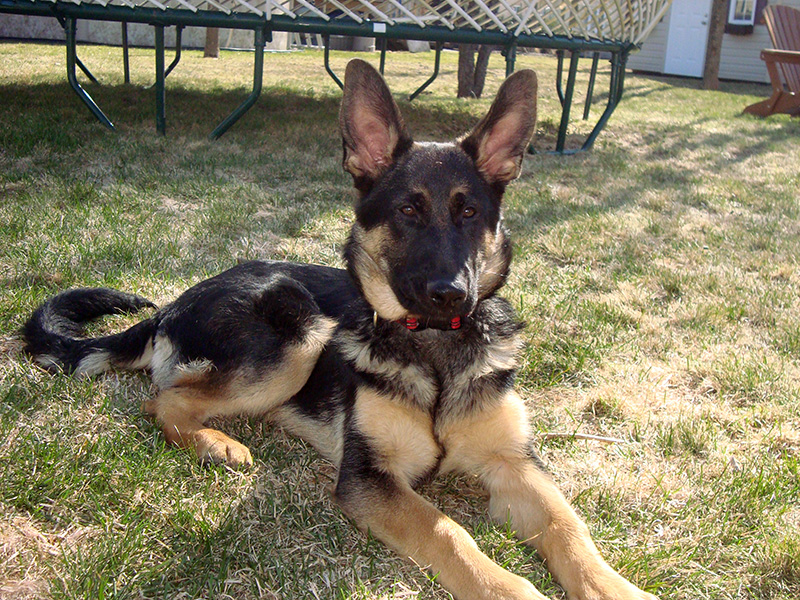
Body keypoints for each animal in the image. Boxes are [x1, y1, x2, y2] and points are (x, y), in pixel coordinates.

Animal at [23, 57, 656, 600]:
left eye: (469, 212)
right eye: (407, 210)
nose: (452, 293)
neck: (434, 348)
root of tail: (177, 300)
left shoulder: (516, 465)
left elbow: (570, 528)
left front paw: (614, 586)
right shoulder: (370, 478)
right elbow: (450, 531)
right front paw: (507, 587)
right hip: (300, 333)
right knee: (164, 402)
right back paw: (217, 443)